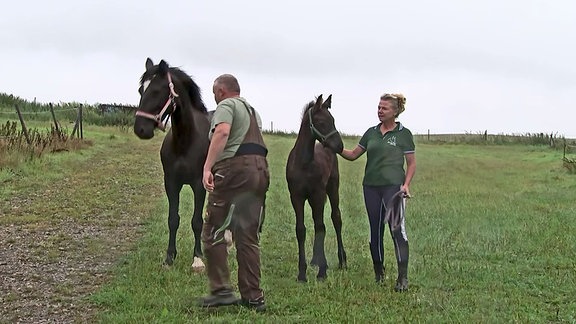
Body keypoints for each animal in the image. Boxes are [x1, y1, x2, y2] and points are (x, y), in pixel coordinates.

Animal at [134, 58, 210, 270]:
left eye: (156, 91)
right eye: (140, 90)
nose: (140, 129)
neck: (185, 142)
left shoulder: (199, 185)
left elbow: (197, 221)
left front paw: (198, 258)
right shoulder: (171, 183)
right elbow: (173, 219)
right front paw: (169, 257)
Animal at [286, 94, 346, 280]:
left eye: (333, 120)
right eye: (321, 122)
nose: (340, 146)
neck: (304, 164)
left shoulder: (317, 195)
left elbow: (321, 228)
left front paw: (322, 271)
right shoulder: (296, 197)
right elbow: (301, 230)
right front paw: (302, 273)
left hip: (332, 188)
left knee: (336, 218)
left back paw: (342, 260)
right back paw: (314, 260)